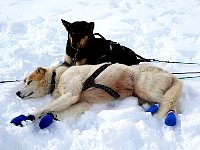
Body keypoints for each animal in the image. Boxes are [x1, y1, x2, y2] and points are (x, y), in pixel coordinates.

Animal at [11, 62, 182, 128]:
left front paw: (28, 116)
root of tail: (171, 75)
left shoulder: (71, 95)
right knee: (162, 104)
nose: (17, 93)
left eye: (29, 81)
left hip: (145, 88)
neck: (57, 78)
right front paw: (48, 118)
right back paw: (151, 110)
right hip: (141, 95)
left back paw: (171, 116)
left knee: (171, 104)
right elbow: (56, 112)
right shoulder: (82, 103)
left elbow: (44, 107)